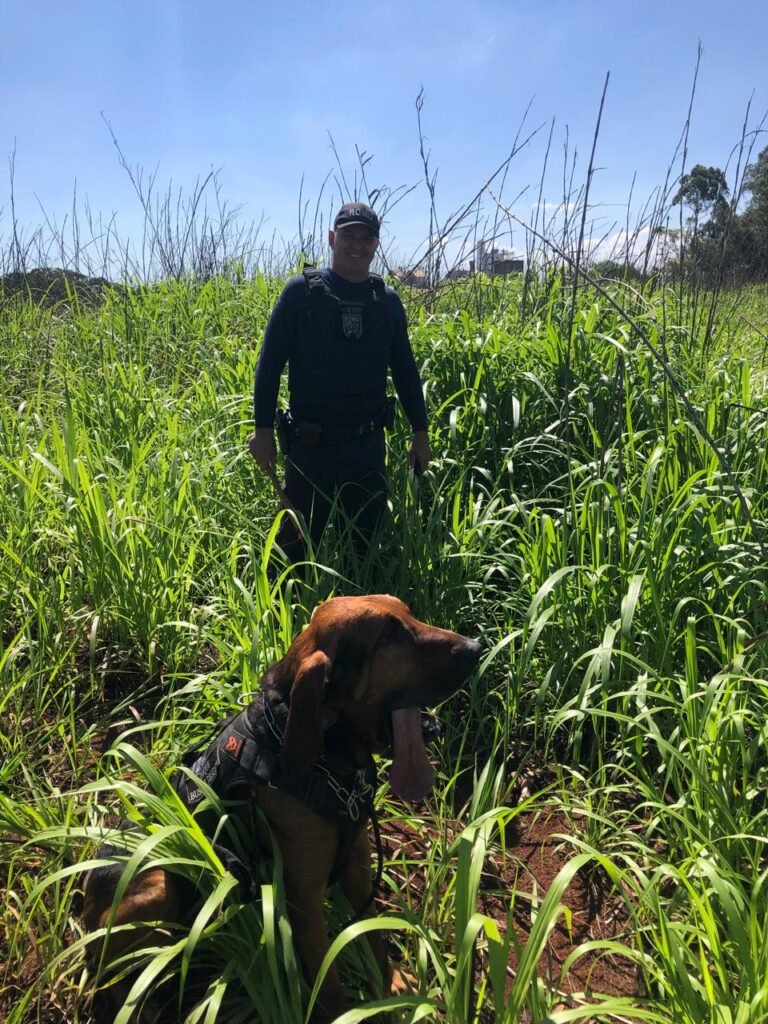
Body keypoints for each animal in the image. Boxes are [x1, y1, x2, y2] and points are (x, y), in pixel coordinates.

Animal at [82, 598, 481, 1019]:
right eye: (389, 635)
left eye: (408, 614)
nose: (476, 647)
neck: (327, 757)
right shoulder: (303, 901)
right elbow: (329, 987)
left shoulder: (356, 865)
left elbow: (373, 935)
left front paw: (392, 985)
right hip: (158, 887)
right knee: (108, 974)